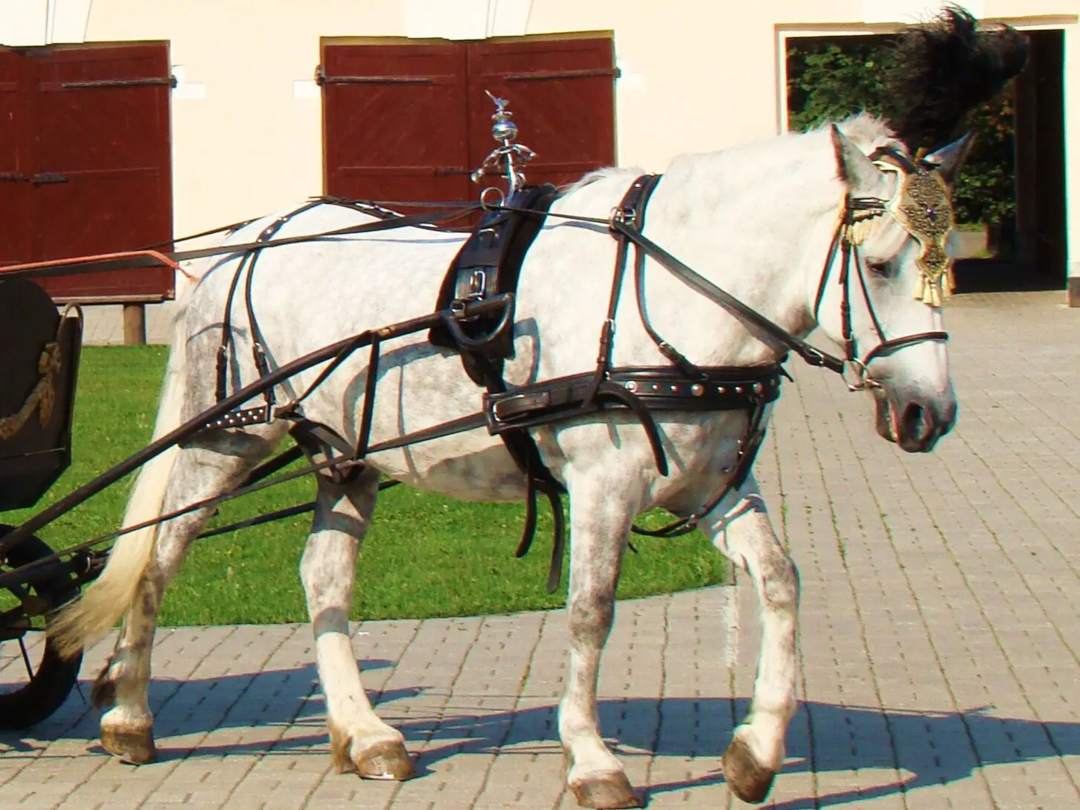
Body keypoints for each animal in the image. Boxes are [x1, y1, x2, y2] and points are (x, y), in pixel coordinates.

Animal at [51, 10, 1026, 807]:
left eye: (941, 261)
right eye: (882, 263)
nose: (928, 414)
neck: (670, 290)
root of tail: (245, 244)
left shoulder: (710, 484)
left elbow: (781, 581)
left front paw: (755, 749)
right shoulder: (603, 484)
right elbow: (590, 609)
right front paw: (592, 761)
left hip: (344, 452)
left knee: (324, 581)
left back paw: (364, 734)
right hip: (226, 442)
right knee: (158, 564)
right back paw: (130, 714)